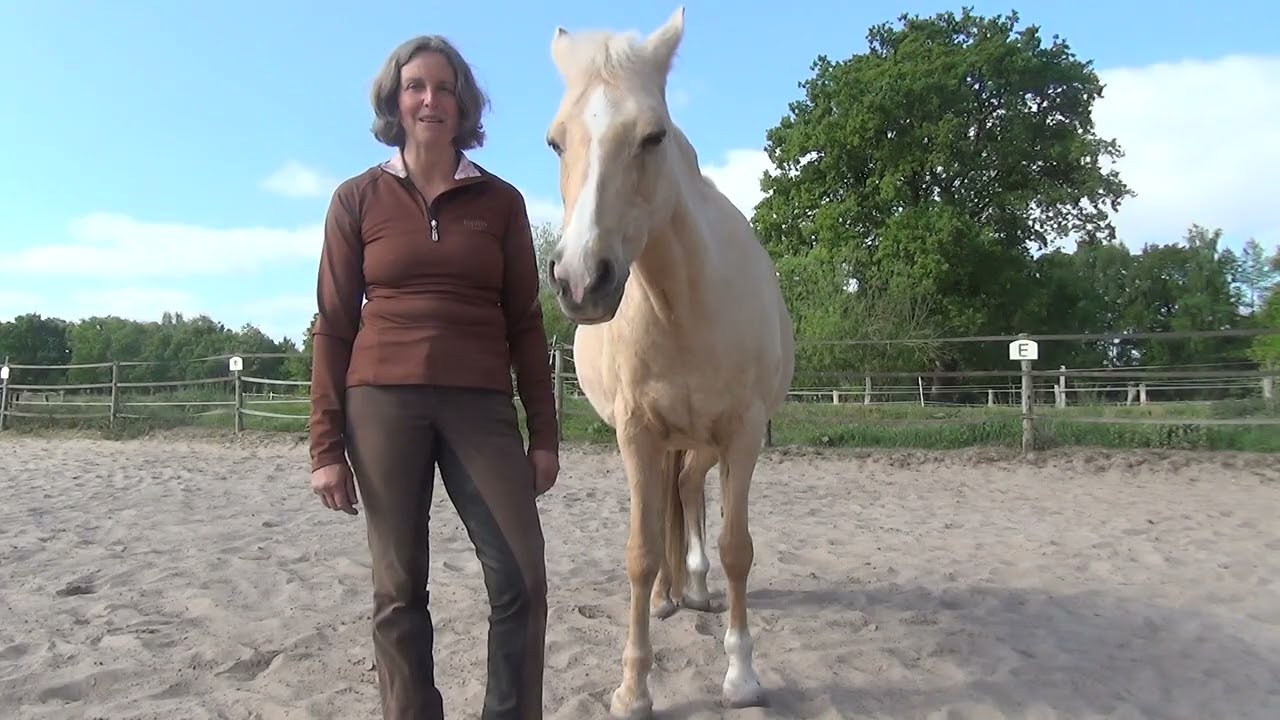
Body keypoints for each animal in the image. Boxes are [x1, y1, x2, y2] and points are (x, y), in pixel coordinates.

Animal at [543, 7, 796, 717]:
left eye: (653, 136)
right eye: (556, 142)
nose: (581, 280)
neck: (683, 303)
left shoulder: (741, 435)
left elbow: (737, 548)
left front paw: (741, 675)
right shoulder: (637, 434)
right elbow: (641, 550)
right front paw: (633, 688)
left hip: (704, 442)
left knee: (687, 493)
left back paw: (697, 589)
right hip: (667, 441)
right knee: (667, 505)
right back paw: (668, 598)